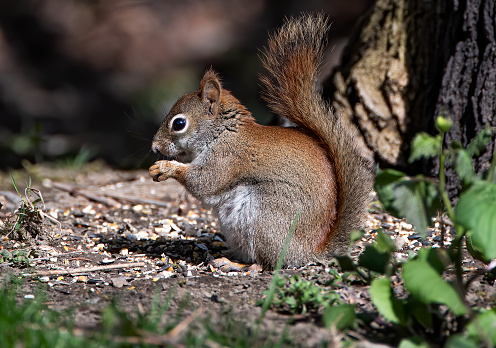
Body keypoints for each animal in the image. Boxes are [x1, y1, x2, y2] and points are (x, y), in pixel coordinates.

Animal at [149, 13, 374, 270]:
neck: (224, 133)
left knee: (265, 262)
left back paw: (236, 264)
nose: (154, 146)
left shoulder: (228, 157)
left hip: (265, 217)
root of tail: (309, 251)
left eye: (178, 124)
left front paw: (166, 167)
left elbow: (204, 181)